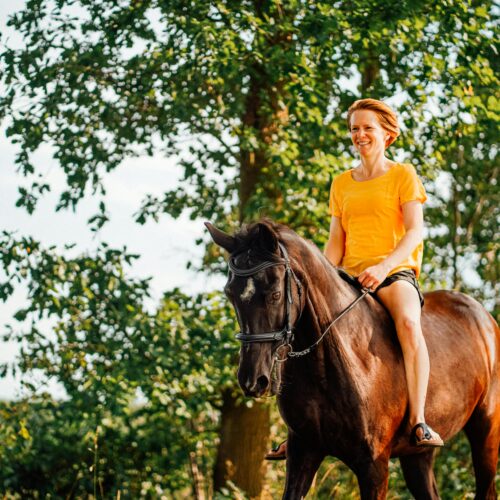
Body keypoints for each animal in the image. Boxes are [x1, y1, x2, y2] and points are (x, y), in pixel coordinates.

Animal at [205, 220, 498, 500]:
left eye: (275, 294)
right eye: (230, 294)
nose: (253, 380)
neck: (329, 364)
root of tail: (483, 316)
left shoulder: (374, 466)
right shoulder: (303, 451)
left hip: (486, 431)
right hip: (417, 455)